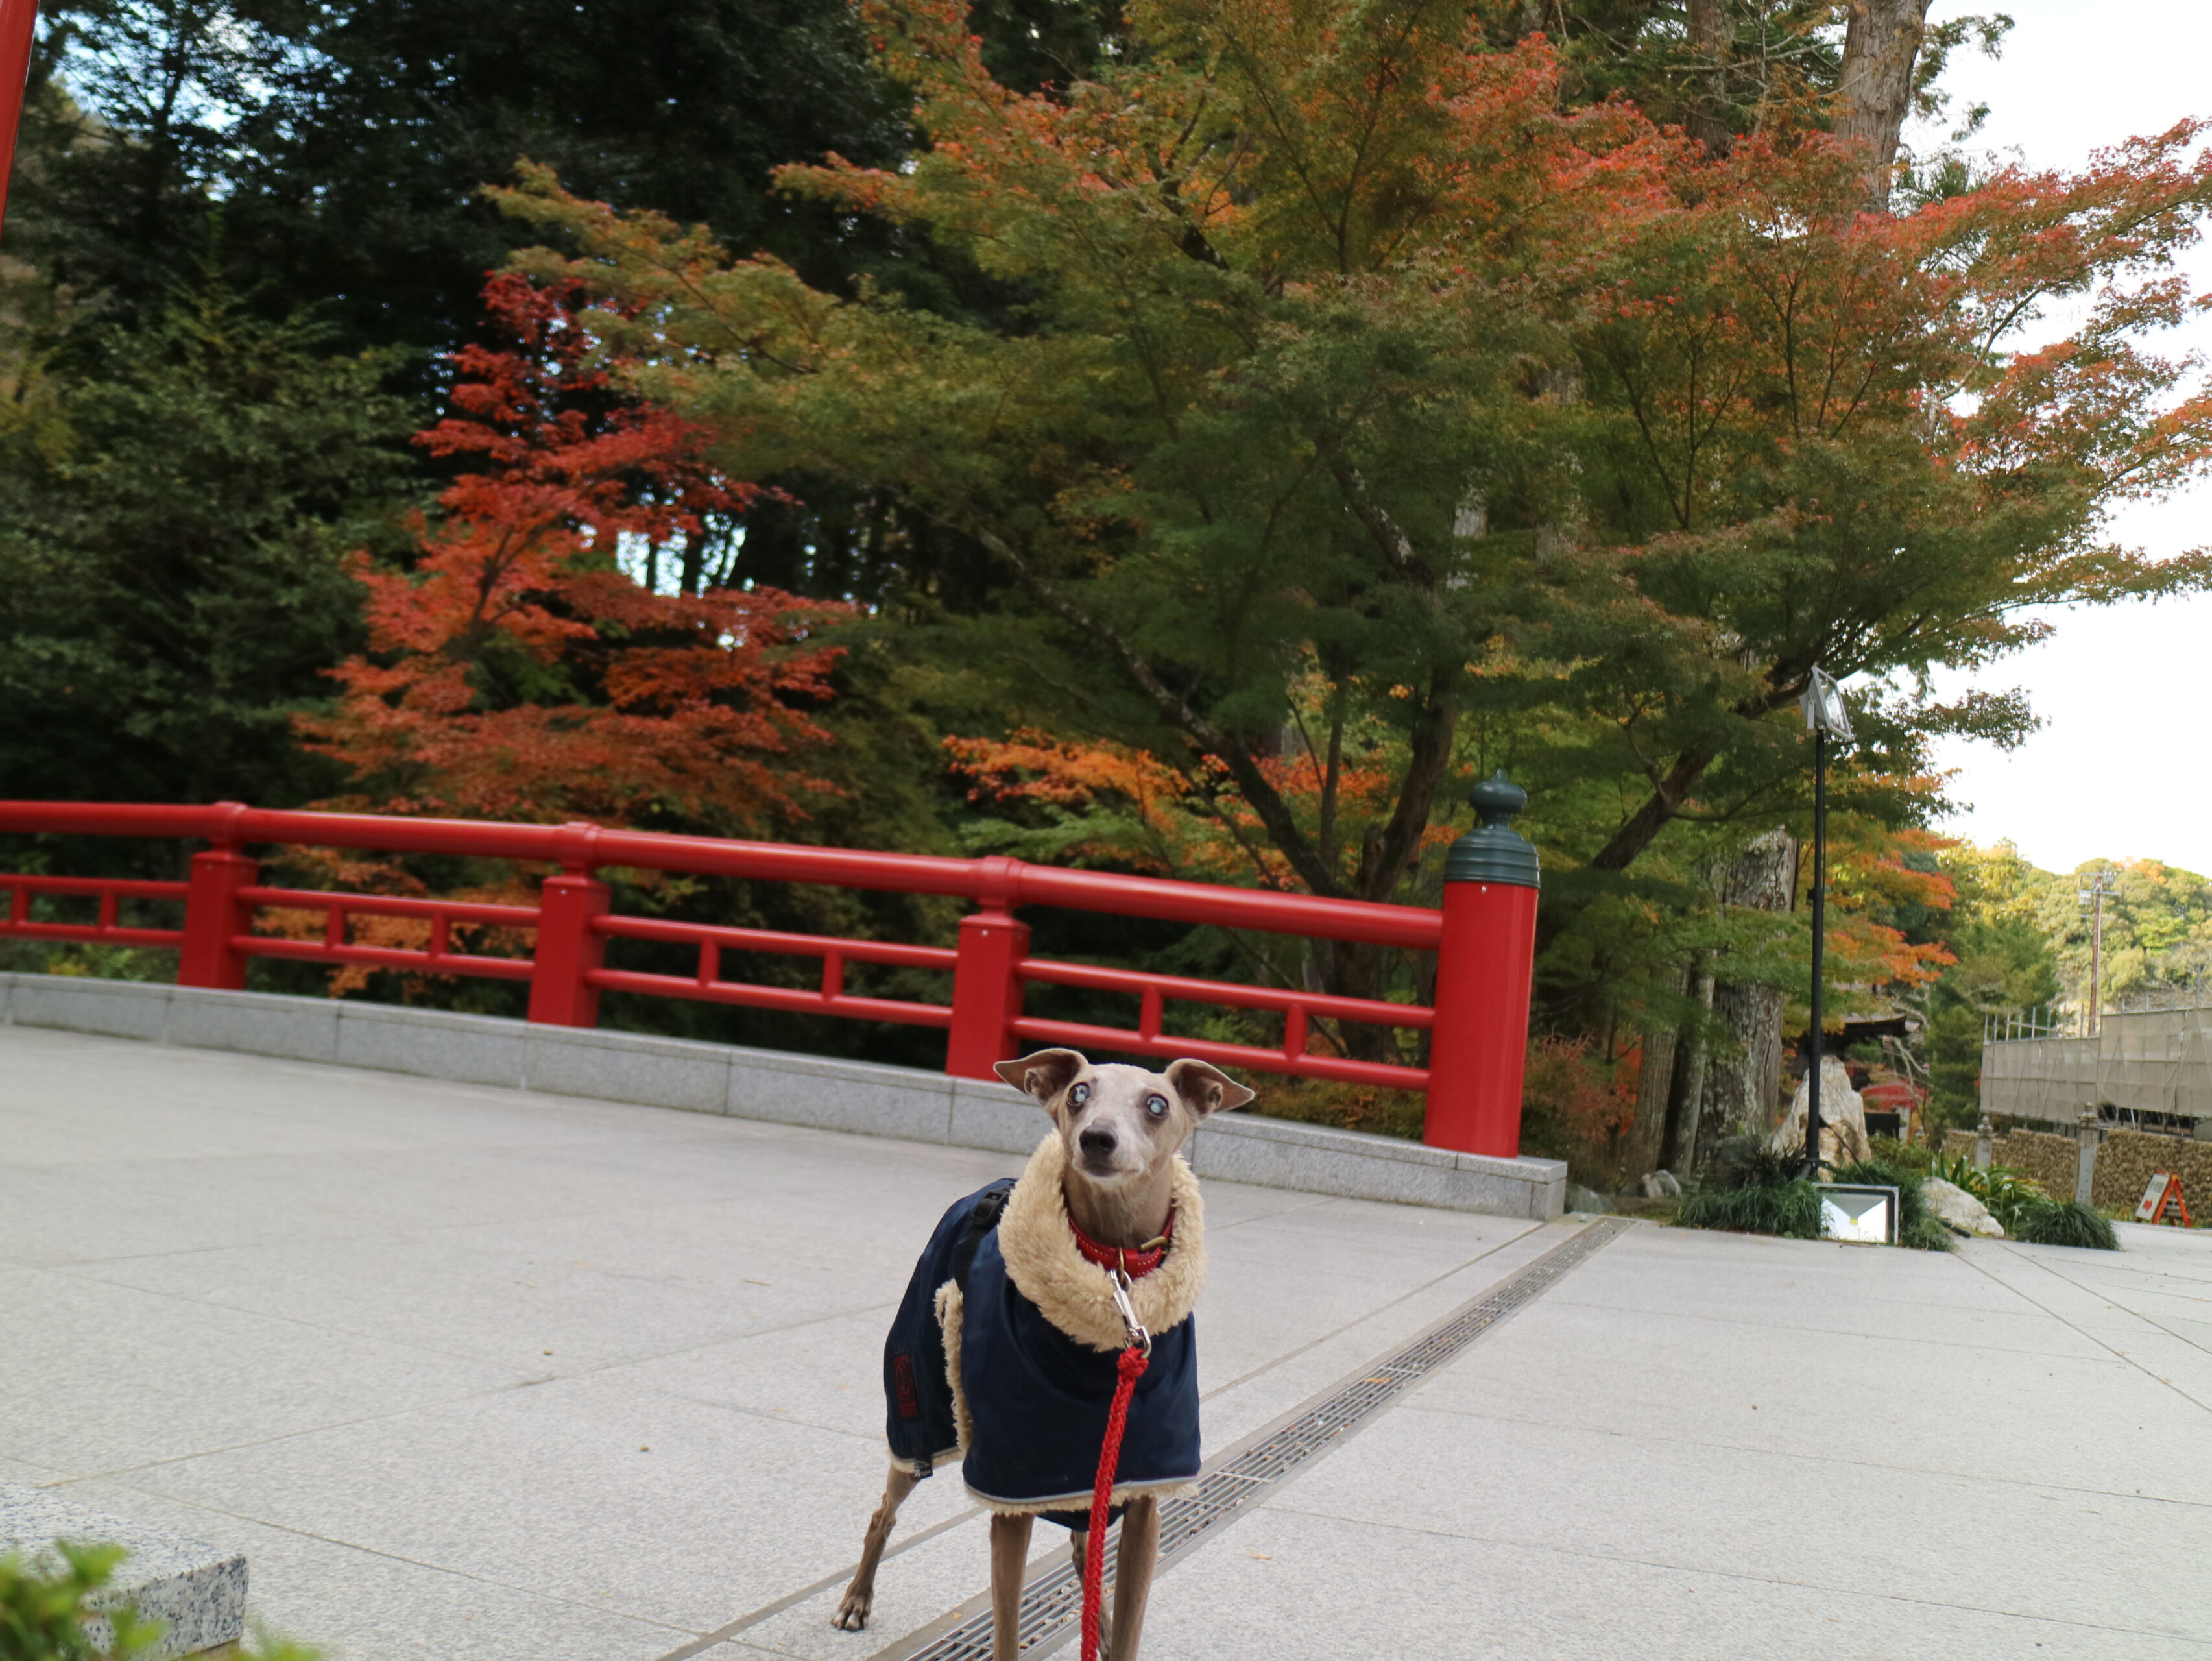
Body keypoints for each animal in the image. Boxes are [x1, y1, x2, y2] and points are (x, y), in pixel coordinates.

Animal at [833, 1047, 1252, 1660]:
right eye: (1079, 1093)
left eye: (1157, 1104)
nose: (1097, 1138)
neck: (1113, 1275)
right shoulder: (1013, 1494)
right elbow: (1007, 1631)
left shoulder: (1144, 1498)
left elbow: (1129, 1623)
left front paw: (1114, 1634)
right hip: (923, 1409)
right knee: (883, 1509)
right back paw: (857, 1599)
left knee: (1082, 1550)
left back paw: (1098, 1626)